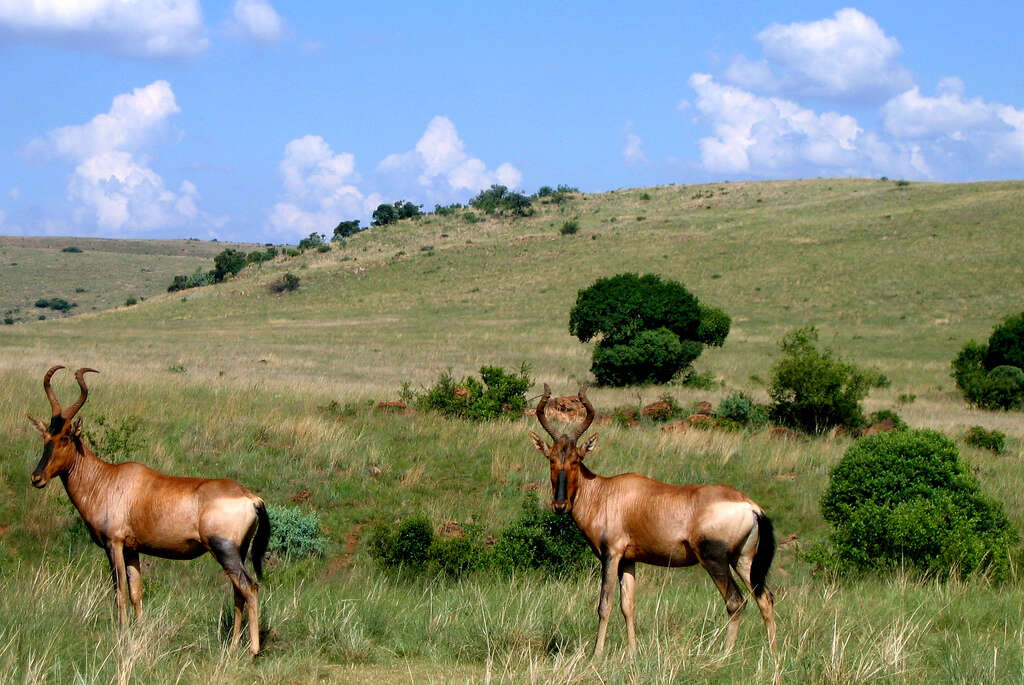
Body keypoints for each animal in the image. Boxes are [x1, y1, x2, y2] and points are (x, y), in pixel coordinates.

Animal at [28, 366, 270, 655]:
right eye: (45, 436)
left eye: (65, 437)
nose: (37, 478)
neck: (107, 479)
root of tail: (250, 497)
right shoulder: (132, 548)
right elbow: (136, 591)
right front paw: (138, 629)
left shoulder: (114, 544)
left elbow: (119, 590)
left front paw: (121, 632)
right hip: (238, 552)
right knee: (238, 592)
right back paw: (233, 645)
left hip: (225, 550)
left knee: (250, 588)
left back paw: (253, 650)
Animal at [528, 382, 774, 655]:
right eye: (551, 459)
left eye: (576, 459)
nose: (560, 505)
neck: (605, 492)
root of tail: (751, 506)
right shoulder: (628, 560)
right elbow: (628, 605)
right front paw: (633, 652)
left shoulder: (612, 554)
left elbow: (605, 605)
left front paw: (597, 654)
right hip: (743, 560)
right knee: (765, 598)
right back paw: (773, 653)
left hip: (715, 559)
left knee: (735, 601)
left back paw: (725, 655)